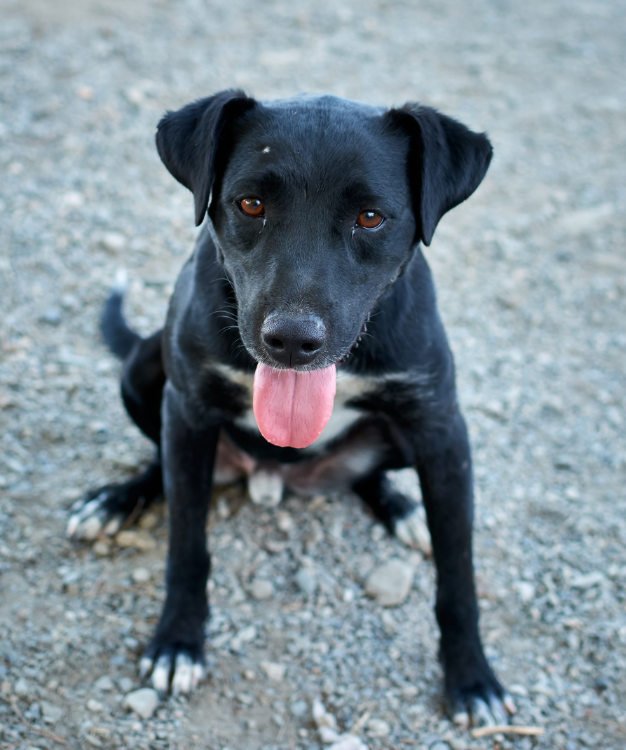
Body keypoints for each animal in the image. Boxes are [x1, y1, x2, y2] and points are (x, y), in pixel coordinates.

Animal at [70, 89, 516, 728]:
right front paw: (178, 642)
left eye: (371, 217)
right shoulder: (188, 410)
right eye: (250, 203)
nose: (291, 340)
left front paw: (472, 678)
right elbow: (186, 544)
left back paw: (403, 508)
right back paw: (112, 501)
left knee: (371, 475)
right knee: (163, 463)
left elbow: (459, 577)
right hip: (144, 370)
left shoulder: (442, 431)